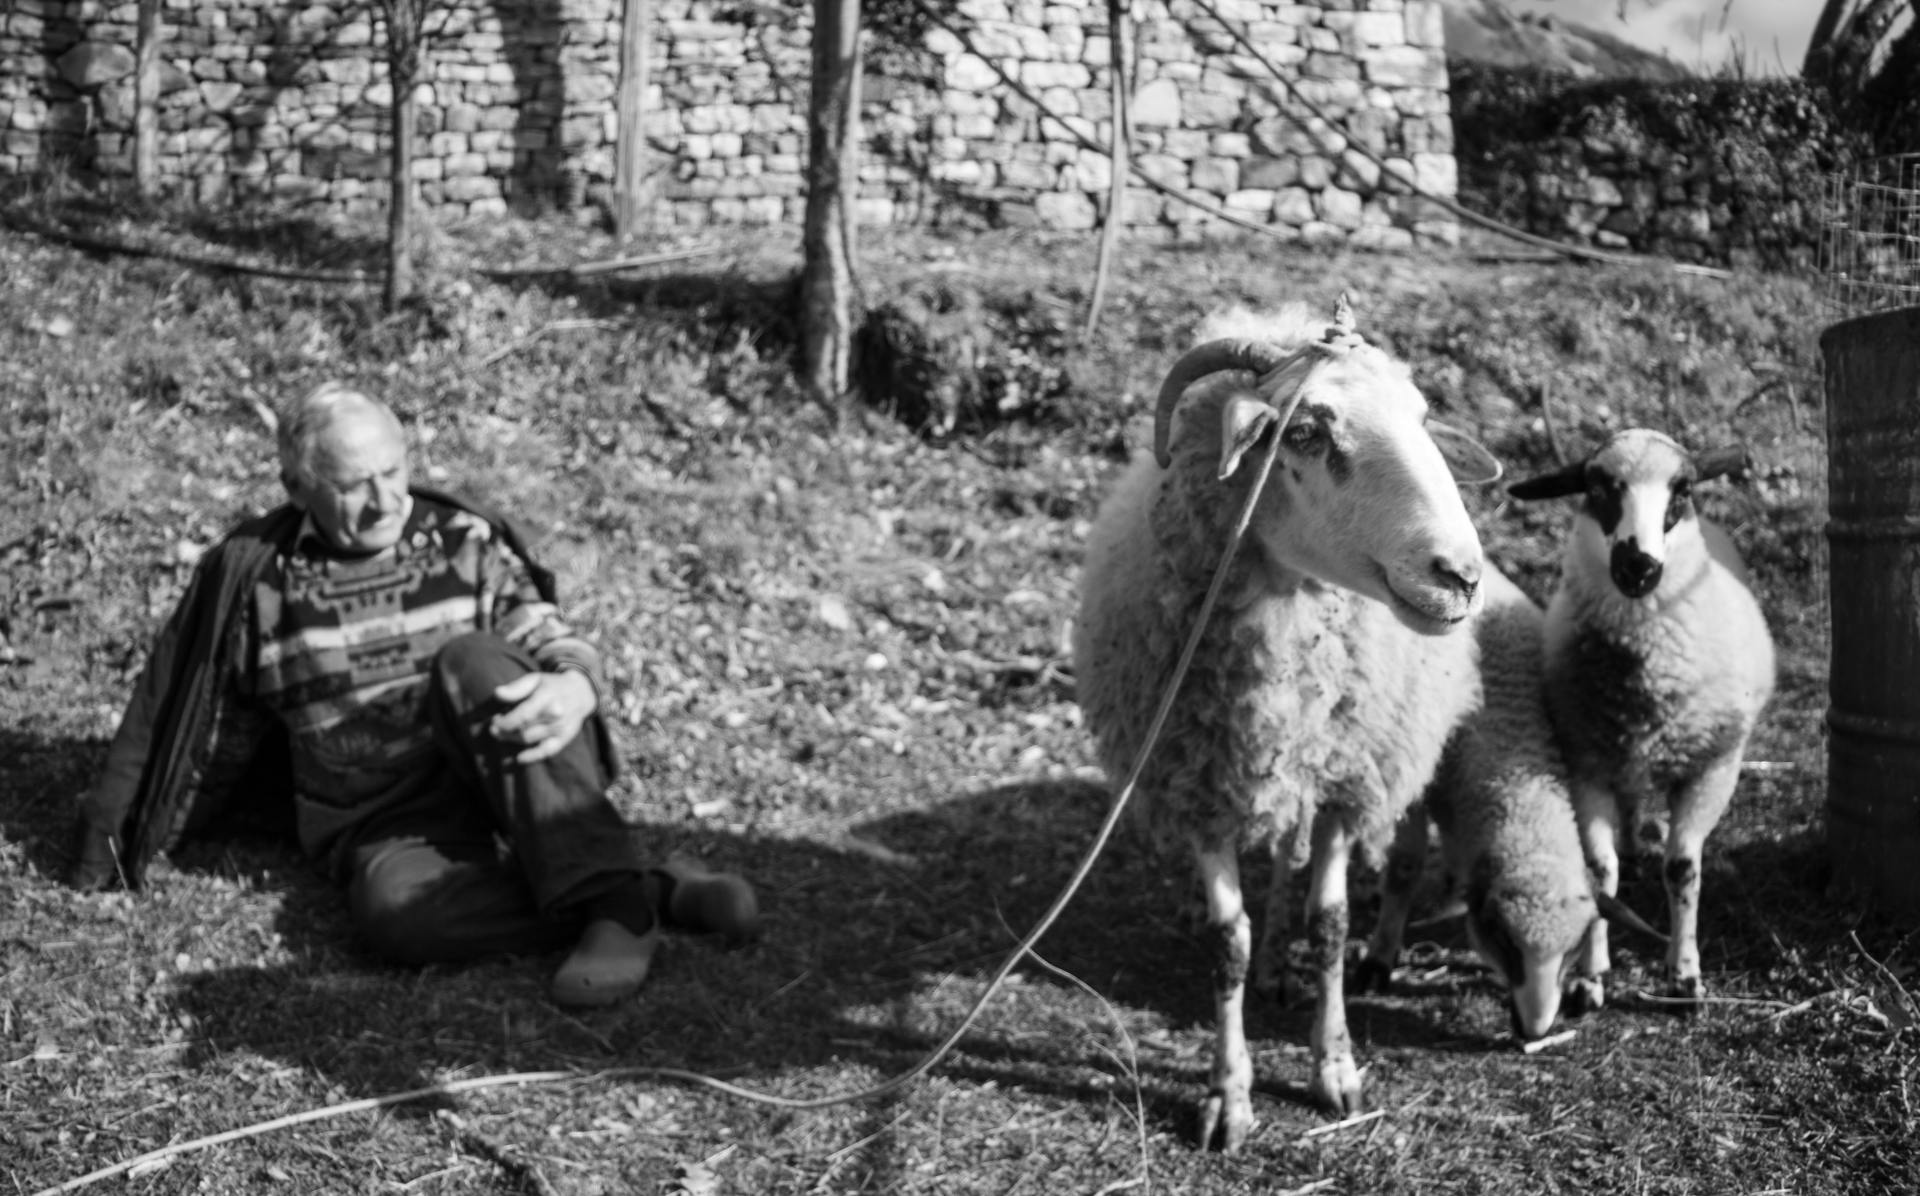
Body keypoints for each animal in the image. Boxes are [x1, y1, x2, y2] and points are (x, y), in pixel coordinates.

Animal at [1067, 297, 1497, 1151]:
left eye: (1421, 419)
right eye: (1304, 434)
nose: (1460, 575)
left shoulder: (1340, 779)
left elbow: (1330, 924)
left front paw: (1334, 1068)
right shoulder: (1196, 783)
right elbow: (1224, 943)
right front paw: (1228, 1094)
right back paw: (1266, 966)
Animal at [1505, 430, 1774, 1013]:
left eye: (1683, 488)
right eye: (1598, 486)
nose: (1638, 567)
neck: (1643, 673)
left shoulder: (1713, 766)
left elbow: (1682, 868)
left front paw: (1685, 975)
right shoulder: (1587, 764)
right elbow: (1600, 873)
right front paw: (1589, 978)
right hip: (1617, 755)